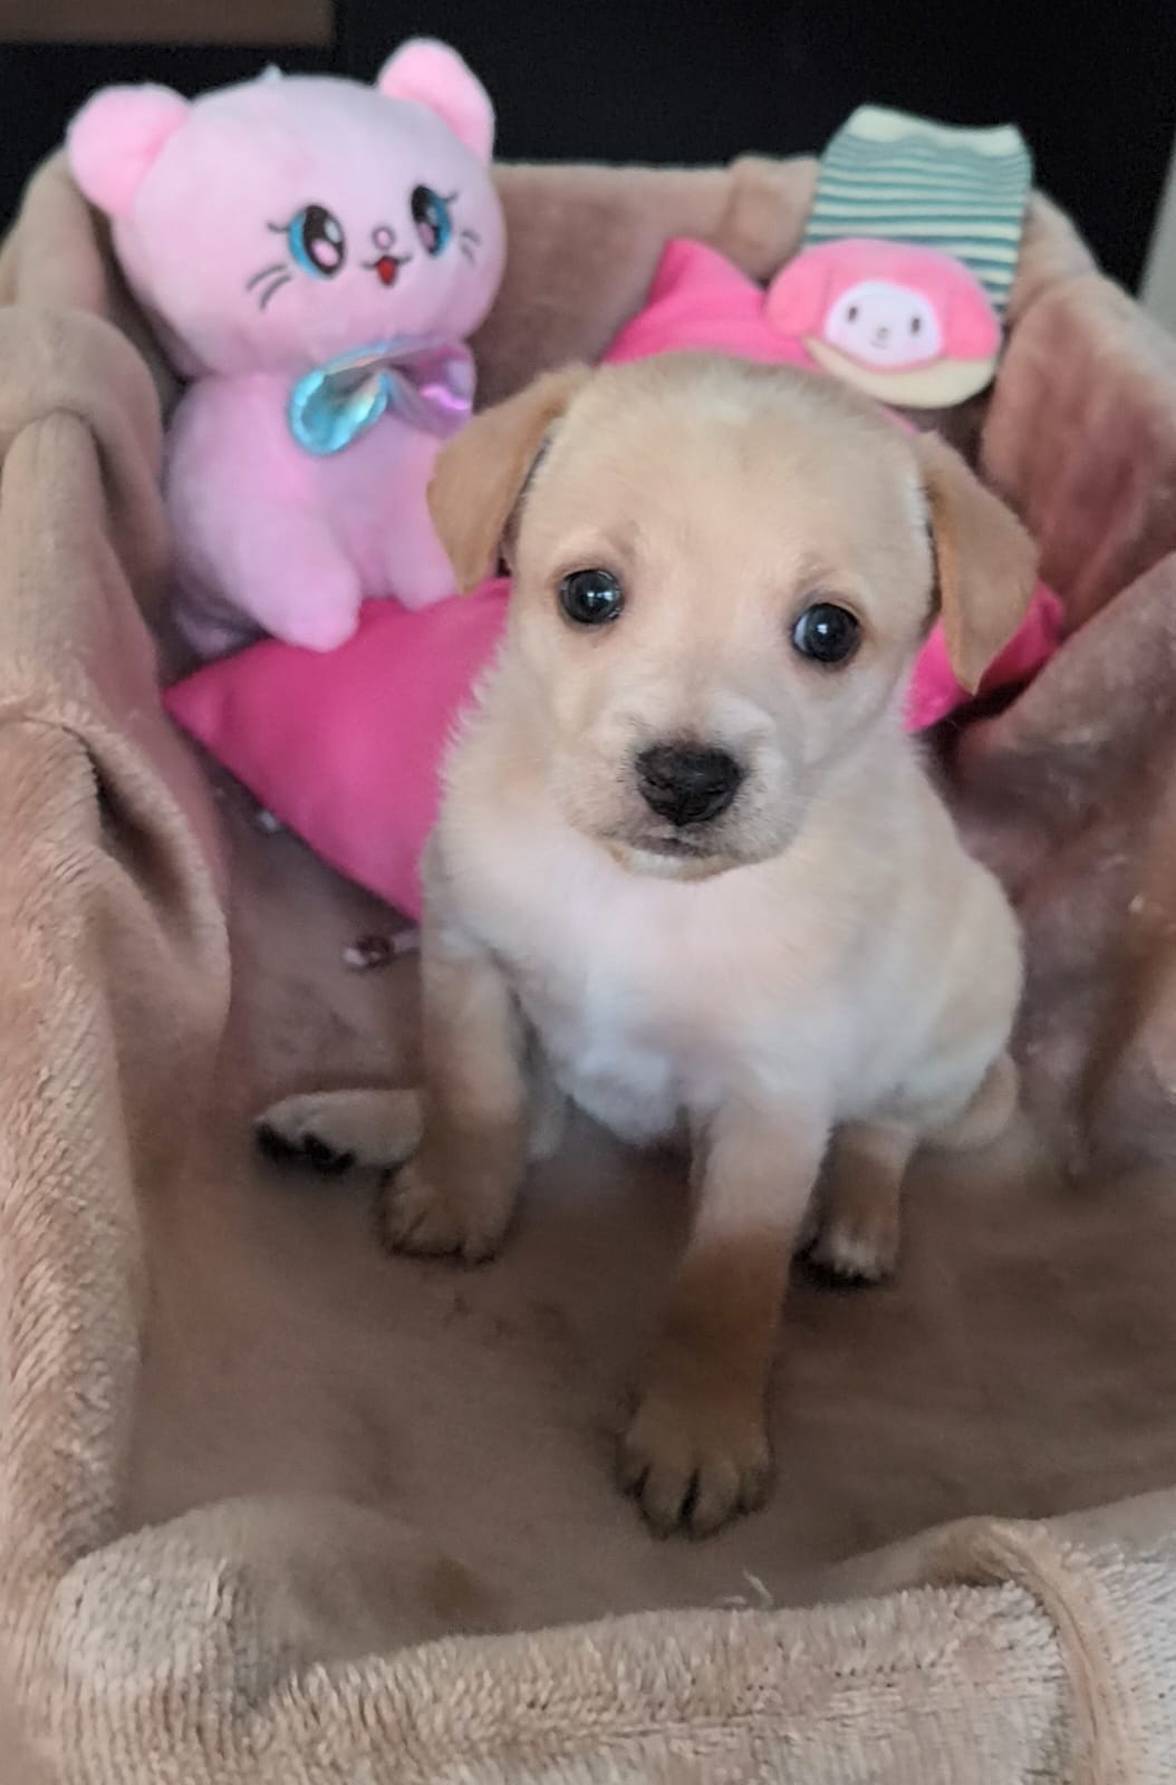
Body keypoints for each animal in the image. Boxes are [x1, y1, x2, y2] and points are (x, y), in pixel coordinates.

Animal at [260, 353, 1036, 1536]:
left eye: (828, 631)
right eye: (590, 595)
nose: (686, 778)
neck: (643, 895)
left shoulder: (772, 1105)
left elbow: (728, 1288)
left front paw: (699, 1433)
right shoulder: (469, 957)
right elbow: (475, 1095)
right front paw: (455, 1196)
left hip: (964, 1010)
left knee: (886, 1132)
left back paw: (858, 1220)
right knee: (528, 1118)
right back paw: (356, 1127)